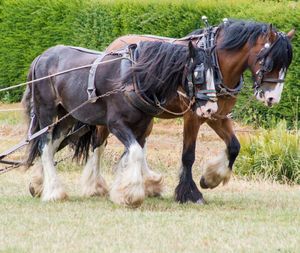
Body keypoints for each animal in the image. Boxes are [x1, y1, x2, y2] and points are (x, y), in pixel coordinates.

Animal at [21, 39, 218, 207]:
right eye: (198, 75)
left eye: (215, 74)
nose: (211, 109)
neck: (133, 78)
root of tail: (40, 57)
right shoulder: (116, 125)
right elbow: (136, 153)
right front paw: (132, 195)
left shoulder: (141, 128)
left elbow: (129, 156)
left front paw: (123, 192)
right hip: (46, 112)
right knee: (45, 146)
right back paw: (54, 192)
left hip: (67, 116)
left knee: (53, 145)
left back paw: (42, 186)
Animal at [79, 20, 292, 205]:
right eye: (268, 63)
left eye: (286, 66)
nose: (272, 98)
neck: (217, 65)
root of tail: (113, 47)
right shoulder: (193, 116)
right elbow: (188, 155)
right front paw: (190, 193)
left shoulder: (216, 115)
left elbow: (234, 146)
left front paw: (210, 179)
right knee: (98, 145)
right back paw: (94, 185)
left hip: (146, 117)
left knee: (140, 143)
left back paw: (149, 183)